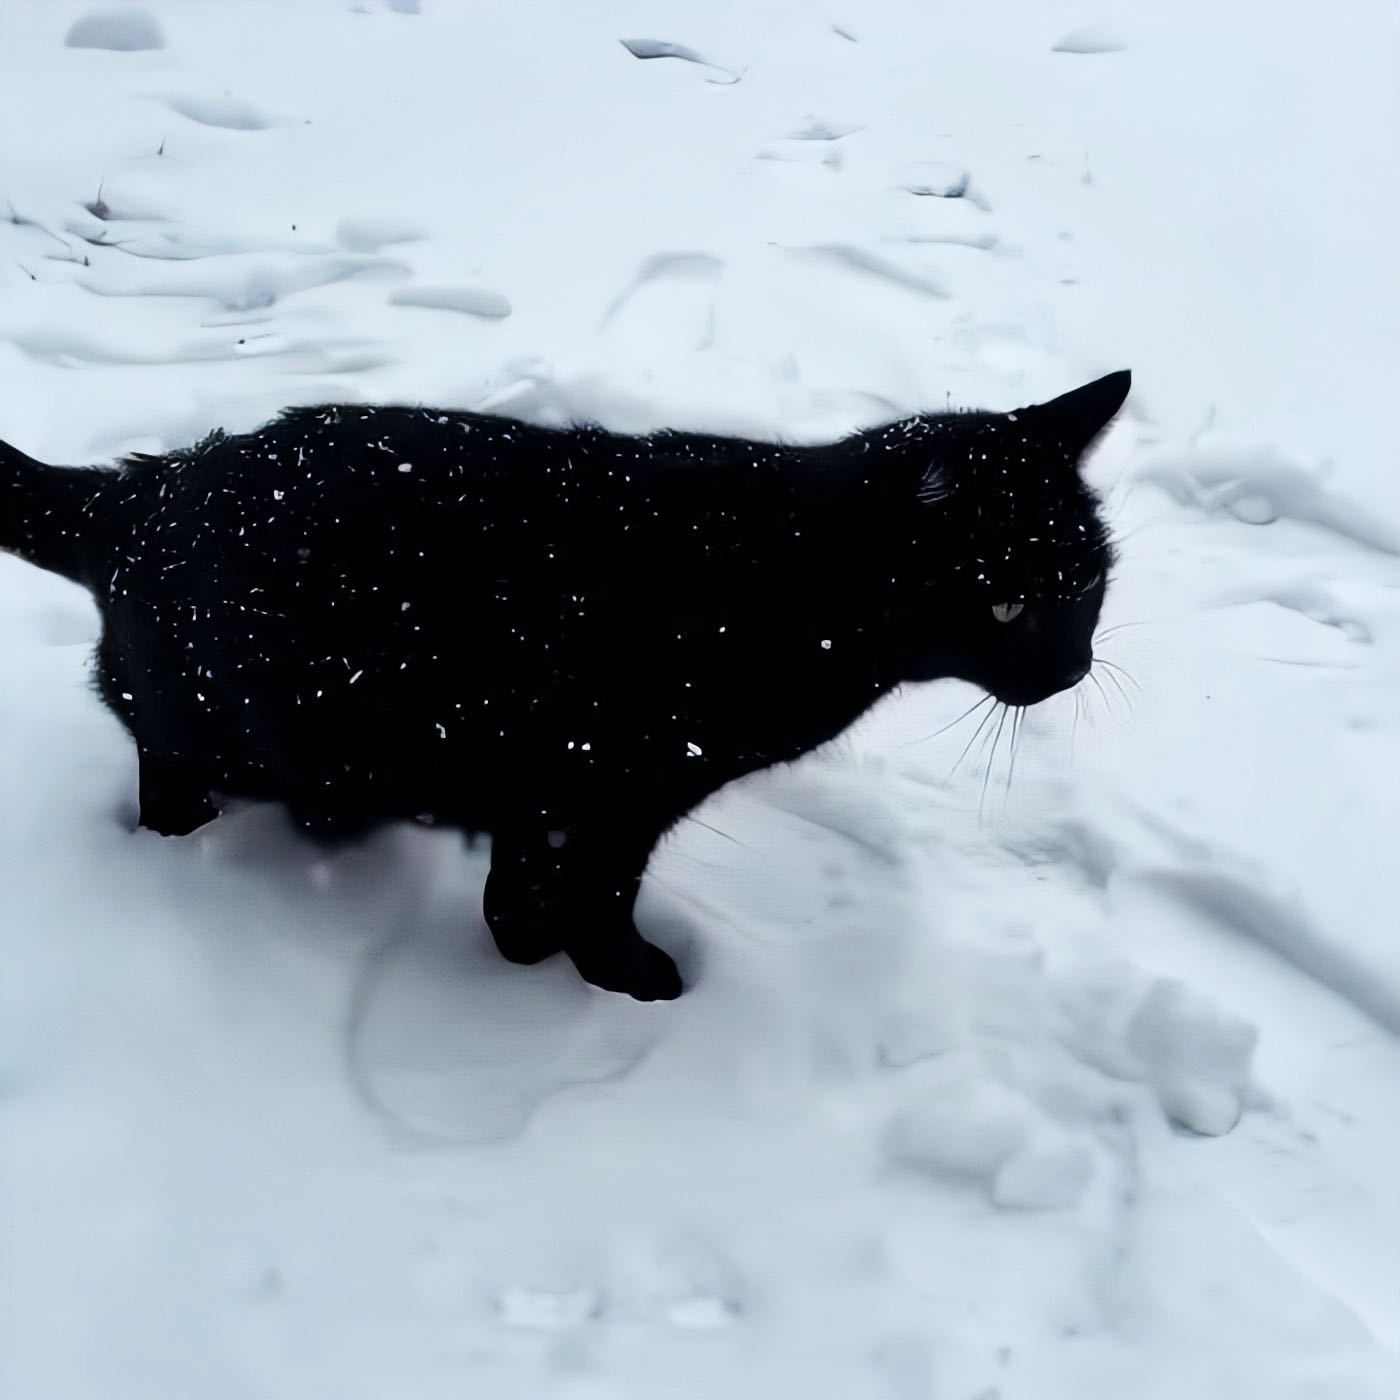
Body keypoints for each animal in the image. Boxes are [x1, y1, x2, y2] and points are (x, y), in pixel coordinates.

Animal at [0, 372, 1125, 996]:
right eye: (1006, 606)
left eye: (1087, 585)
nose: (1070, 667)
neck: (792, 583)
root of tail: (142, 486)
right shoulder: (609, 789)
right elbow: (588, 896)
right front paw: (624, 982)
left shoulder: (545, 793)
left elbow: (521, 892)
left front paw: (530, 960)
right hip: (222, 725)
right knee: (162, 778)